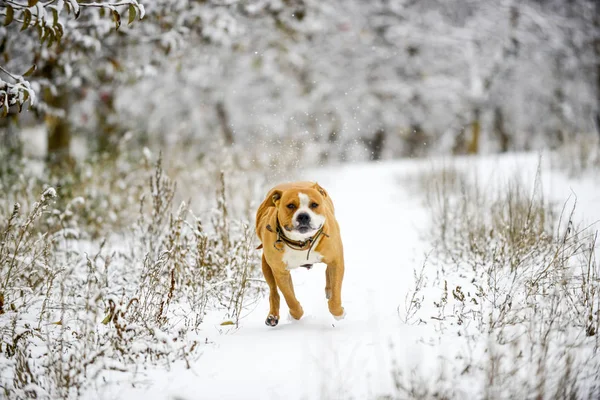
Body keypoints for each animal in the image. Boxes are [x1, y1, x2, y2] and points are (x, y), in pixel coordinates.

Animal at [254, 183, 346, 326]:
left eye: (314, 204)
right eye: (291, 205)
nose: (303, 216)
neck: (302, 242)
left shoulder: (336, 261)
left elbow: (336, 292)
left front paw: (338, 312)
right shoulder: (280, 272)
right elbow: (289, 297)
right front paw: (296, 314)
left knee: (328, 273)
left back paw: (329, 290)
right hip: (266, 265)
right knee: (273, 291)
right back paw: (272, 316)